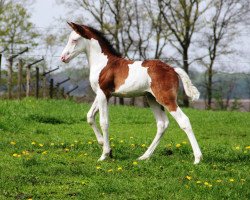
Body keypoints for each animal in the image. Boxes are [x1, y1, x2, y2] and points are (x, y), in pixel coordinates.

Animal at [61, 22, 203, 164]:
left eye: (74, 40)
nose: (63, 57)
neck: (103, 63)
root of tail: (172, 69)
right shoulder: (102, 94)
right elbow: (90, 116)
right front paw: (104, 145)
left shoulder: (103, 94)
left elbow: (104, 122)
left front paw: (105, 154)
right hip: (152, 99)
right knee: (162, 124)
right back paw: (144, 156)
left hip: (166, 98)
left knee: (184, 121)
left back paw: (197, 158)